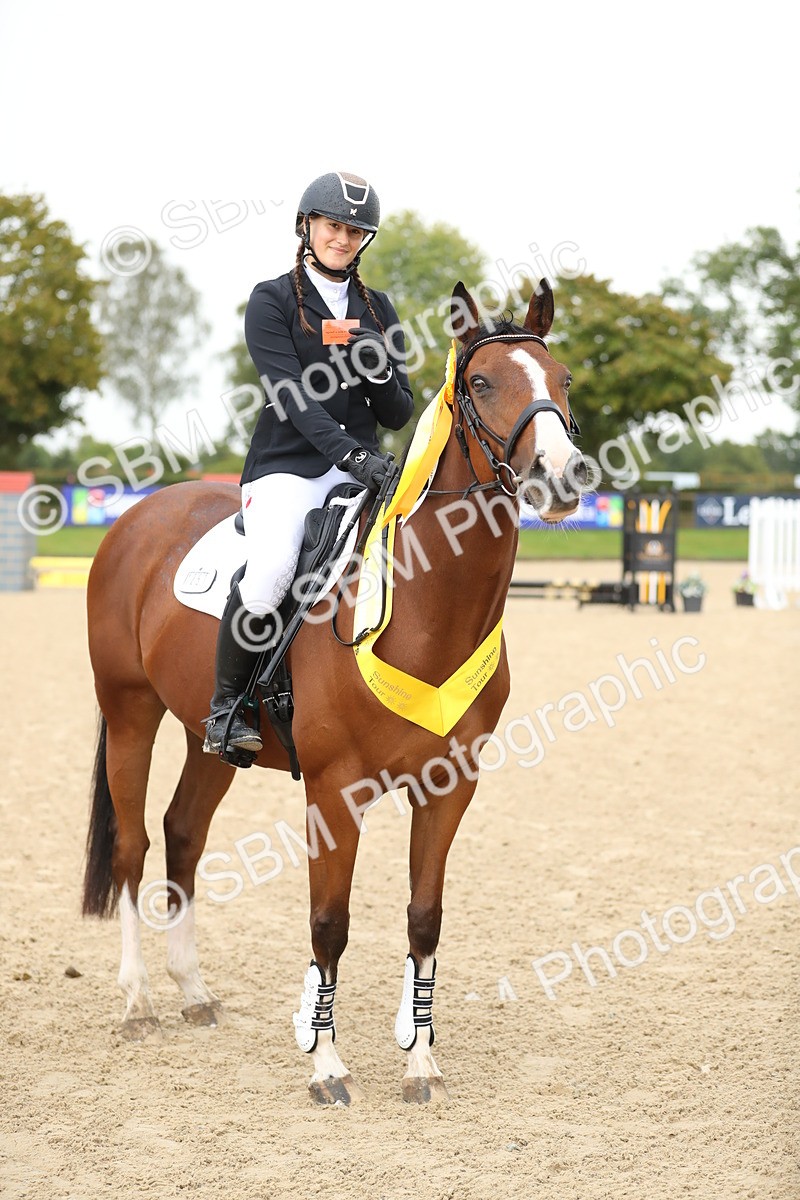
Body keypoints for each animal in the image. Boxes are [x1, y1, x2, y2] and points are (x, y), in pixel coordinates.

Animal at [82, 279, 588, 1104]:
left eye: (563, 379)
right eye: (481, 383)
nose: (564, 474)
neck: (427, 607)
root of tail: (141, 514)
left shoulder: (449, 787)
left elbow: (424, 918)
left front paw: (421, 1065)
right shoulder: (333, 791)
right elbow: (329, 923)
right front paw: (326, 1067)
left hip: (206, 736)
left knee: (183, 834)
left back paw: (193, 993)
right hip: (131, 710)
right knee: (132, 846)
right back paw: (136, 1005)